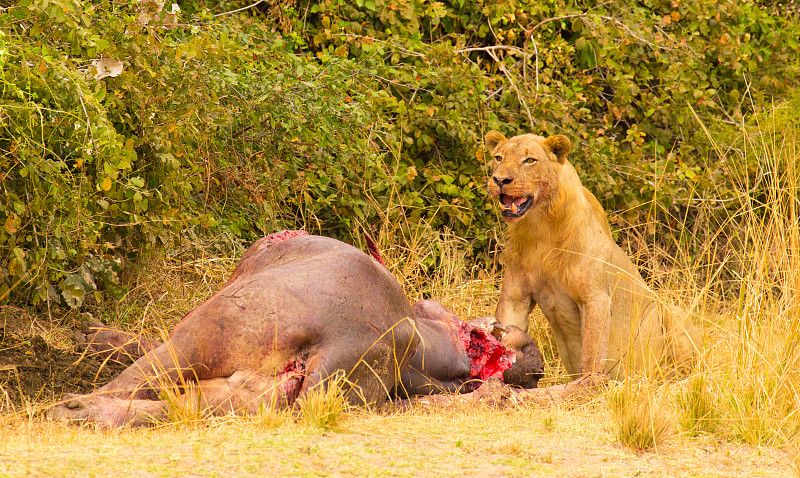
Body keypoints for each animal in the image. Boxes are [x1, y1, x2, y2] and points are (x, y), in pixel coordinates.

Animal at [482, 131, 700, 392]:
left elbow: (592, 348)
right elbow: (508, 325)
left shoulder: (595, 297)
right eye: (498, 157)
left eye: (530, 160)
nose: (500, 180)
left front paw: (588, 385)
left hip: (674, 314)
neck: (540, 227)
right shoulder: (515, 297)